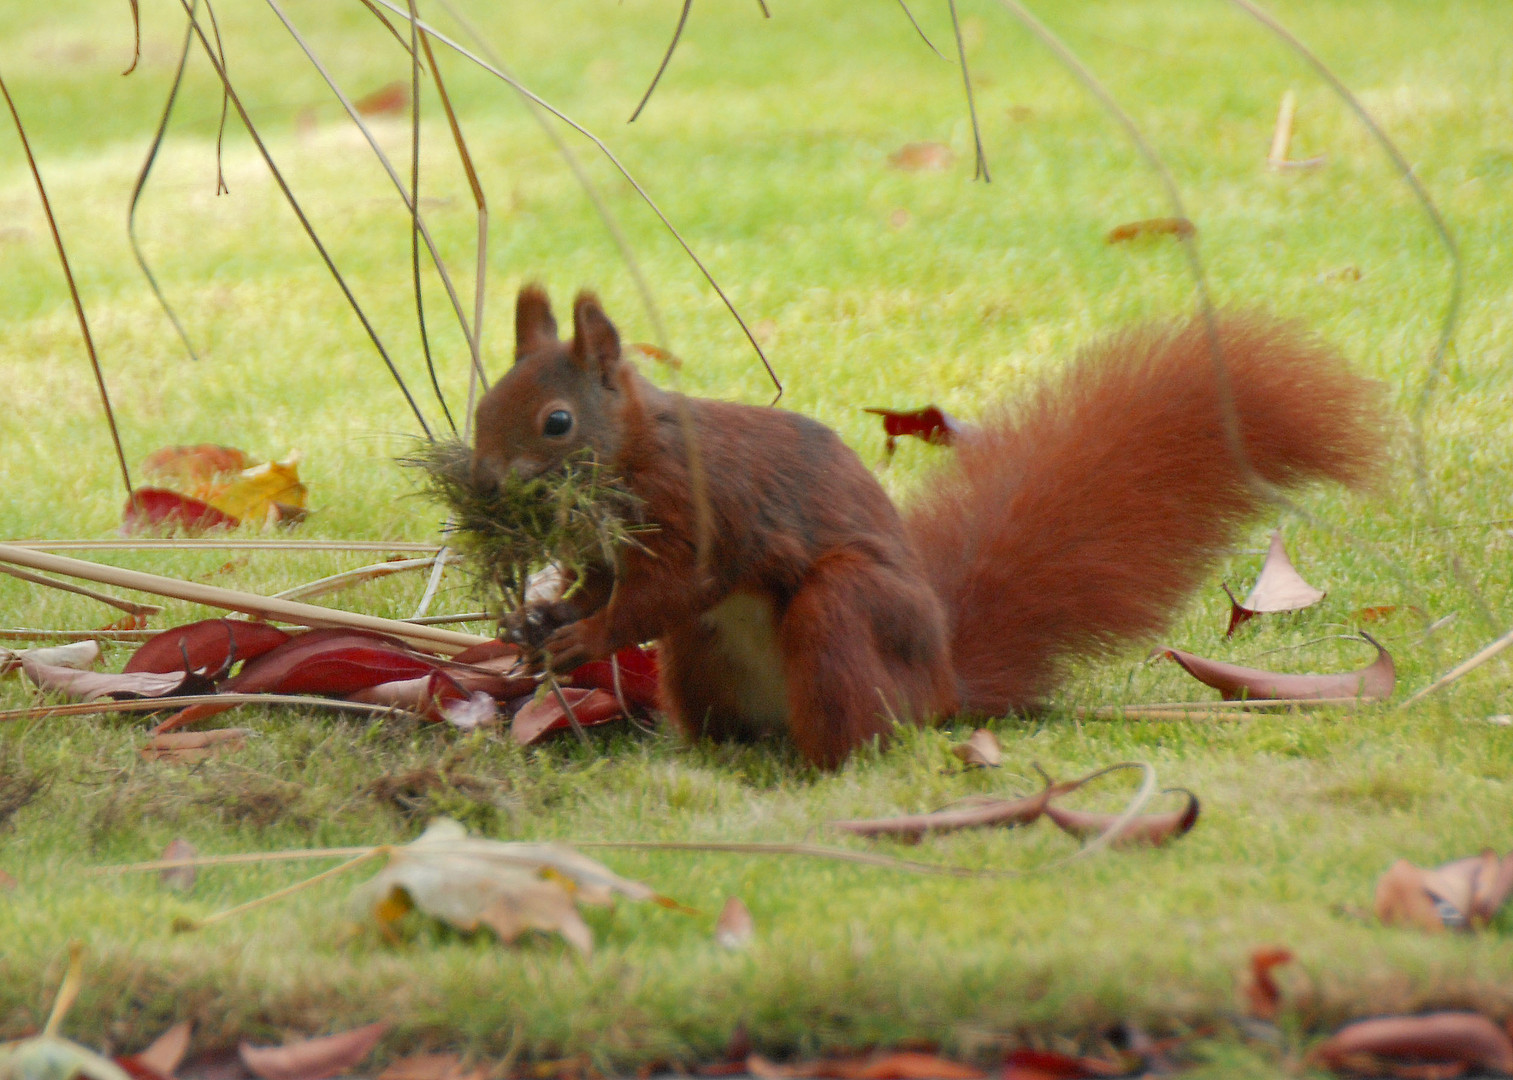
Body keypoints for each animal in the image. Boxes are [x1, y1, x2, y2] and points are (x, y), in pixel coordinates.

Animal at [472, 281, 1385, 762]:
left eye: (556, 422)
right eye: (483, 404)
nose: (485, 486)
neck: (634, 448)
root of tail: (945, 683)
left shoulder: (694, 513)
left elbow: (659, 592)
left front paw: (579, 640)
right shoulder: (604, 550)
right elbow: (598, 585)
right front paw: (536, 618)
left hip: (846, 611)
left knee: (859, 724)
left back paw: (823, 767)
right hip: (700, 658)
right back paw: (723, 757)